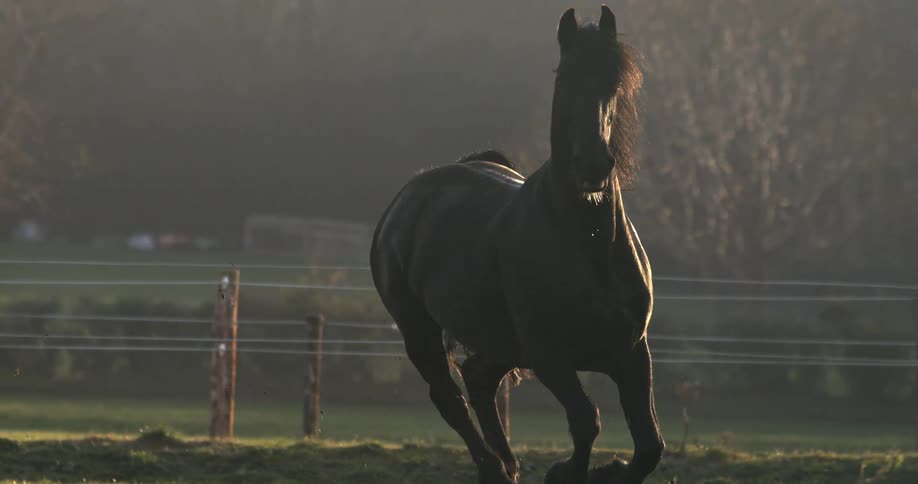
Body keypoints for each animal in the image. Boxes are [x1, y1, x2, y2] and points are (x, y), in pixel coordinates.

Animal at [370, 6, 663, 484]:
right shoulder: (549, 356)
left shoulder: (632, 352)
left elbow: (650, 445)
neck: (591, 249)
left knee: (477, 379)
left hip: (499, 343)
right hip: (419, 330)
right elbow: (587, 419)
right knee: (450, 398)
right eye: (564, 79)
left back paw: (507, 465)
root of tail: (409, 196)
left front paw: (608, 469)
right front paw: (566, 470)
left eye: (614, 84)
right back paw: (494, 466)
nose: (592, 165)